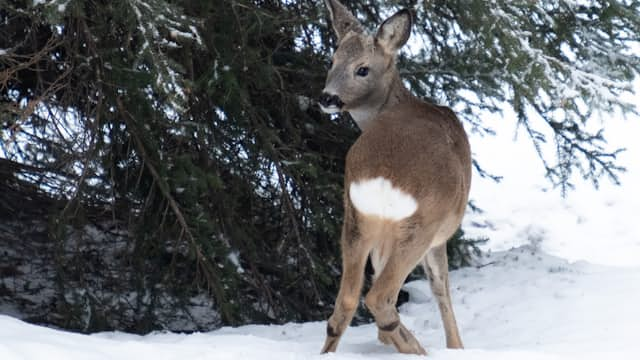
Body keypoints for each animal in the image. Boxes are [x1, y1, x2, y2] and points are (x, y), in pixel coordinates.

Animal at [318, 0, 472, 354]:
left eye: (362, 69)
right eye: (332, 61)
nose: (328, 98)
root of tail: (381, 177)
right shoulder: (439, 233)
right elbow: (441, 286)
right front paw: (457, 346)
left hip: (356, 219)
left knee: (346, 301)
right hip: (420, 224)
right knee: (380, 297)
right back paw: (417, 349)